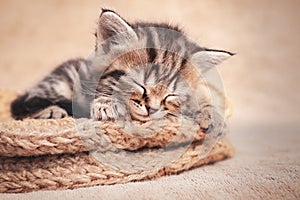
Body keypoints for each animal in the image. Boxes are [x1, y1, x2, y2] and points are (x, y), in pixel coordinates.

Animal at [10, 9, 232, 131]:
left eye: (170, 95)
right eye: (139, 85)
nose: (153, 109)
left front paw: (211, 113)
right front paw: (106, 104)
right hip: (61, 79)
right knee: (22, 102)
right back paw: (52, 111)